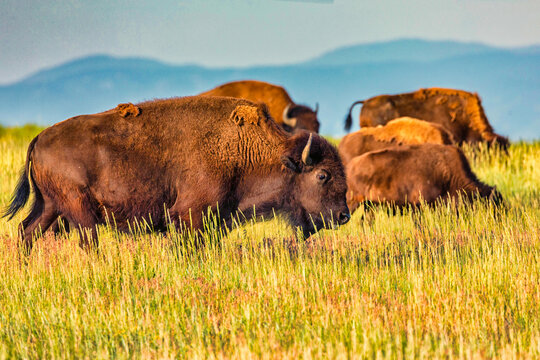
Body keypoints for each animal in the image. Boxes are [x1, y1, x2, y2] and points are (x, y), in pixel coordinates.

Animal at [3, 97, 350, 252]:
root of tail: (39, 138)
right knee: (88, 240)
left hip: (51, 206)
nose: (344, 215)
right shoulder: (191, 214)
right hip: (77, 209)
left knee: (27, 230)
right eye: (322, 175)